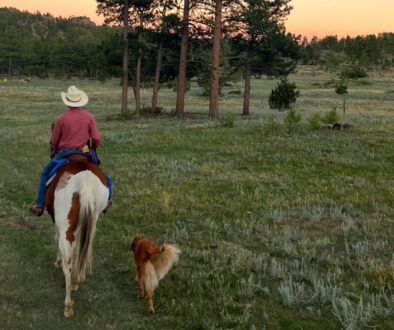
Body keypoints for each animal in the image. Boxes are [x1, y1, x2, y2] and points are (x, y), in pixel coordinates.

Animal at [45, 157, 108, 318]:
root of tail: (85, 180)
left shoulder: (58, 224)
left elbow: (57, 240)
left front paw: (57, 261)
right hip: (92, 220)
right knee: (81, 252)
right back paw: (74, 282)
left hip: (65, 228)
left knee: (68, 261)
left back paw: (68, 304)